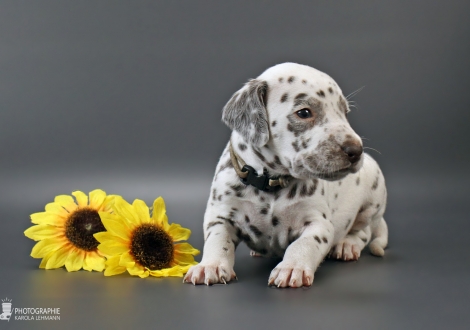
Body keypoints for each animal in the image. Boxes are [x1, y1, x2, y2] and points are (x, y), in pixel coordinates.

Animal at [185, 63, 390, 288]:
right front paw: (210, 265)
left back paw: (347, 244)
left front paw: (293, 267)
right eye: (304, 112)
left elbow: (304, 243)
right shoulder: (220, 215)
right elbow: (217, 239)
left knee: (363, 232)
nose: (356, 150)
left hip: (372, 200)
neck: (269, 183)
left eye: (344, 112)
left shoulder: (318, 224)